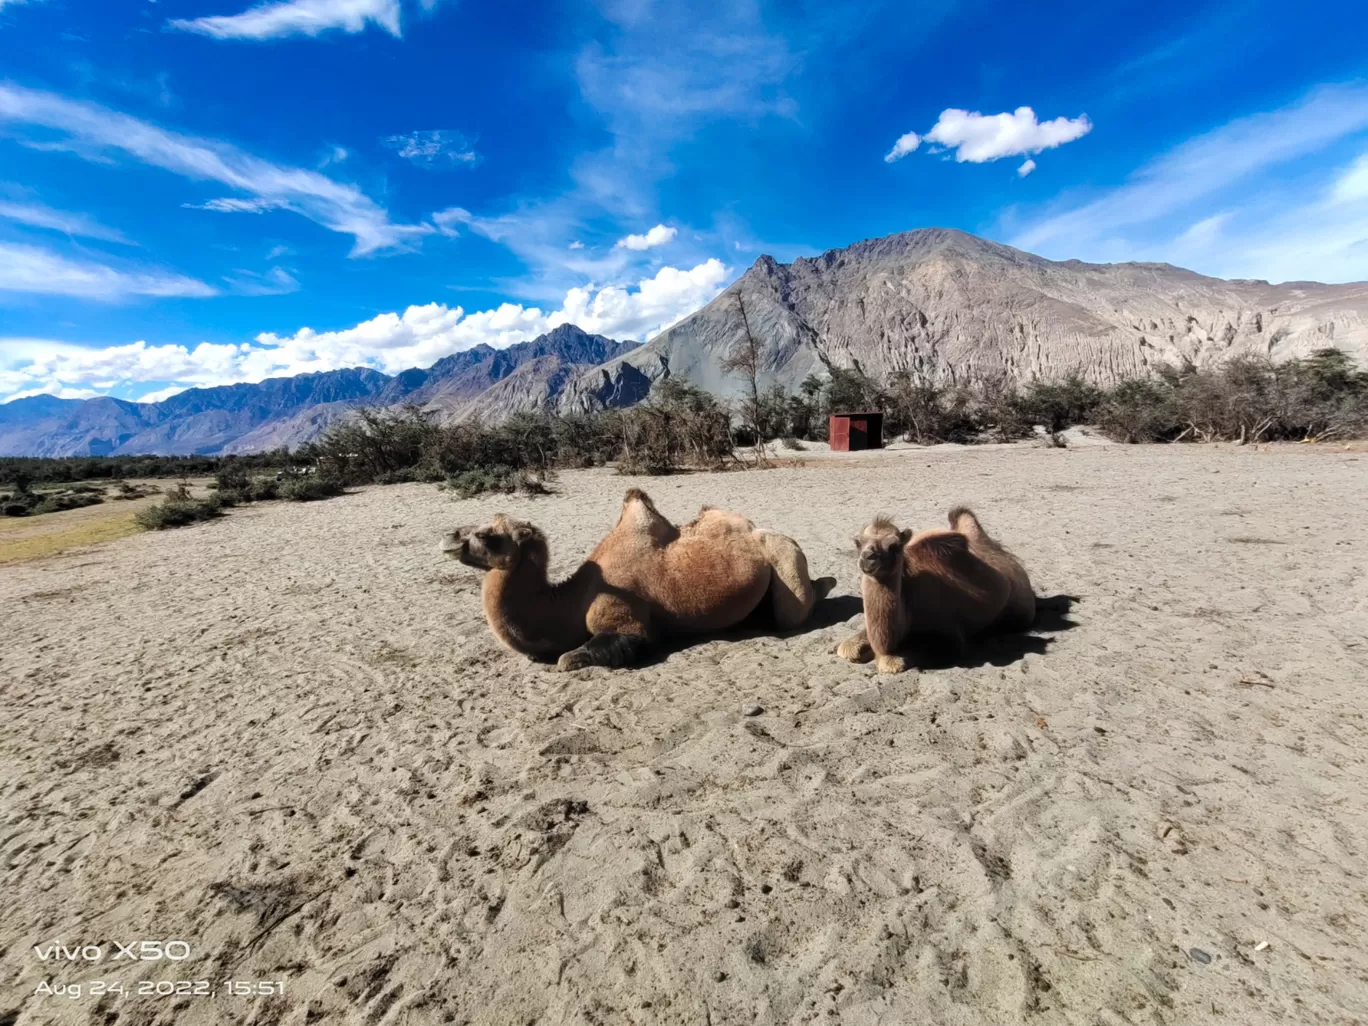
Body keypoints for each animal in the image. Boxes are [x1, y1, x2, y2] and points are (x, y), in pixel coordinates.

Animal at [443, 489, 837, 675]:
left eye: (488, 536)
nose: (448, 537)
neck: (570, 604)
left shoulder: (624, 621)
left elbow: (567, 659)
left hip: (785, 558)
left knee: (793, 612)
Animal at [831, 506, 1034, 675]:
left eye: (895, 546)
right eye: (858, 543)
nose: (868, 558)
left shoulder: (950, 635)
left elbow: (895, 660)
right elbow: (847, 648)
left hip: (1020, 609)